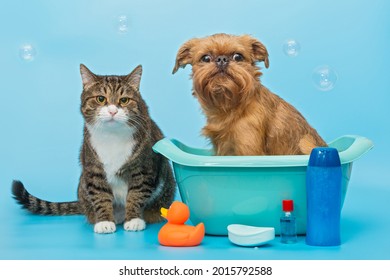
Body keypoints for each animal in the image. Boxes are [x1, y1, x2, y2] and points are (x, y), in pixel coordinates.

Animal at [12, 64, 176, 234]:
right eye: (101, 99)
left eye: (124, 100)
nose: (112, 111)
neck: (113, 137)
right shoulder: (93, 168)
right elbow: (100, 195)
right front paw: (104, 221)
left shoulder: (143, 170)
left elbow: (136, 195)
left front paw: (134, 220)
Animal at [172, 33, 328, 155]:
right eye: (205, 58)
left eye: (238, 57)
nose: (222, 59)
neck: (230, 106)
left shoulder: (248, 148)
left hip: (306, 143)